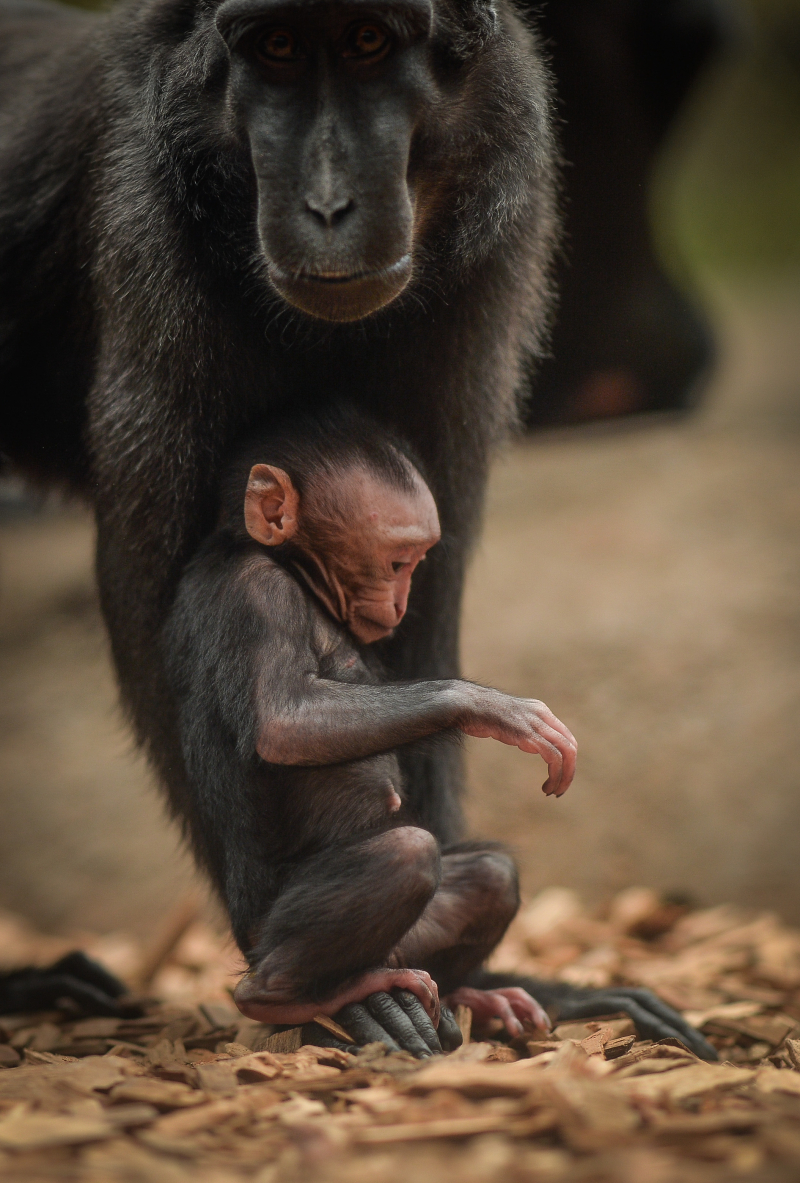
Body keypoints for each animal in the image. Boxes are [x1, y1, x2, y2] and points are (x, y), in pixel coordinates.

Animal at [0, 0, 715, 1056]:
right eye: (279, 49)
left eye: (371, 44)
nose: (330, 202)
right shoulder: (149, 241)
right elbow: (192, 644)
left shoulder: (491, 257)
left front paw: (507, 980)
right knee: (392, 857)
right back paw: (301, 989)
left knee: (471, 870)